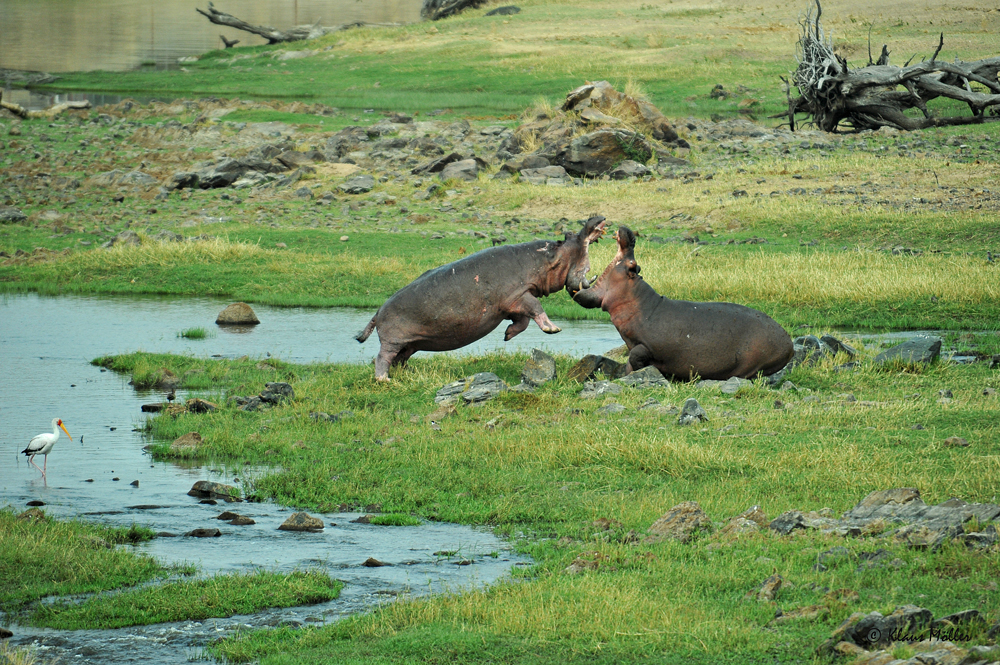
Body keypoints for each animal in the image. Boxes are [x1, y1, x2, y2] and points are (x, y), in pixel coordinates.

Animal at [360, 215, 608, 382]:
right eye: (569, 235)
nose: (595, 218)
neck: (547, 258)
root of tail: (377, 312)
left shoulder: (513, 303)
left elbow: (522, 321)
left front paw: (507, 335)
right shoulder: (519, 295)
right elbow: (536, 308)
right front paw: (553, 329)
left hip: (409, 343)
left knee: (399, 358)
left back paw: (405, 372)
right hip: (393, 340)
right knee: (382, 358)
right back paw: (384, 379)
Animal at [576, 226, 792, 378]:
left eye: (632, 264)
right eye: (638, 267)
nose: (631, 234)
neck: (639, 303)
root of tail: (789, 344)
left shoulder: (647, 346)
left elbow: (636, 355)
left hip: (753, 364)